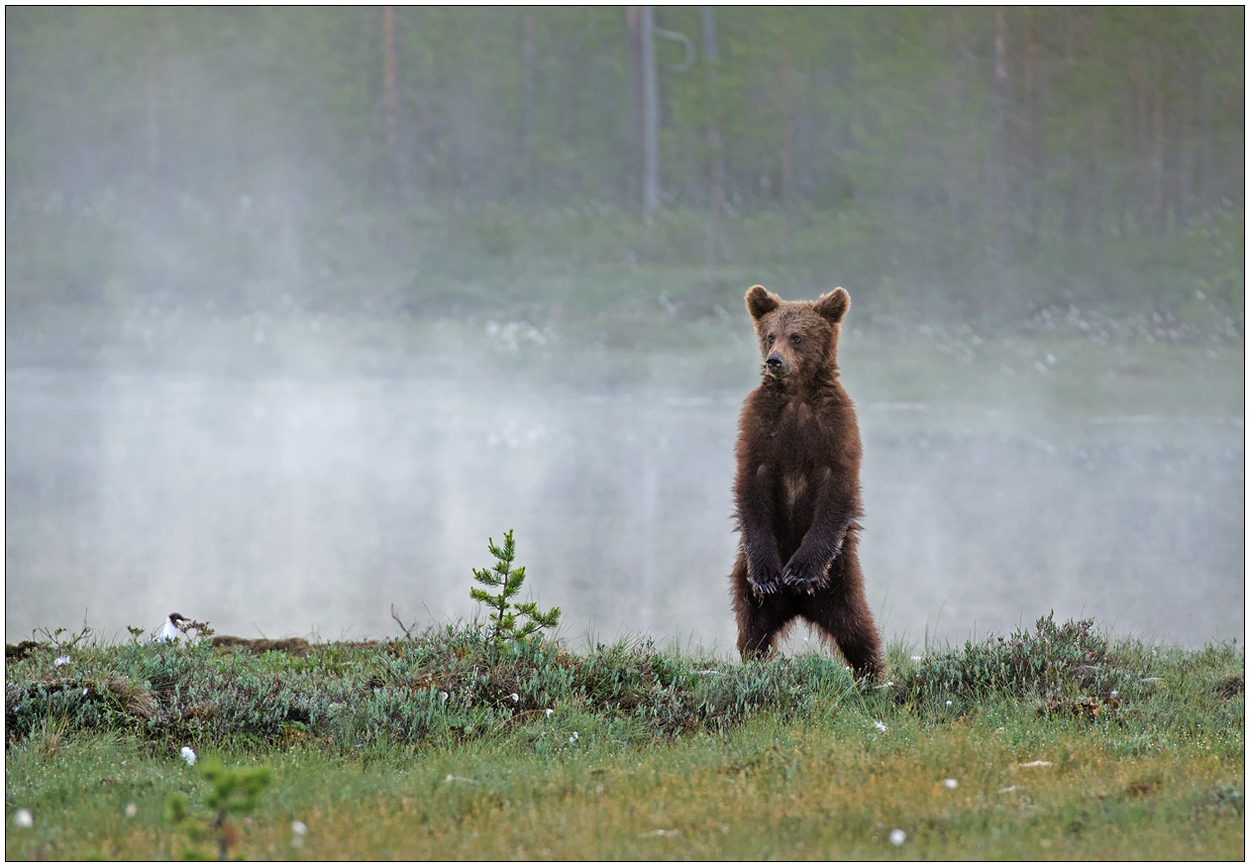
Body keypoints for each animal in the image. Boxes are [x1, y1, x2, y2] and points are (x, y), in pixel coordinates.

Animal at [730, 284, 885, 679]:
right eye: (771, 335)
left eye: (797, 337)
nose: (774, 360)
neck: (797, 395)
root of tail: (798, 608)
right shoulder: (761, 425)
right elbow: (751, 483)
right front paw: (770, 575)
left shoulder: (834, 426)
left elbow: (839, 487)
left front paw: (800, 572)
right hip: (743, 575)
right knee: (752, 627)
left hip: (843, 579)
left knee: (858, 629)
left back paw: (873, 674)